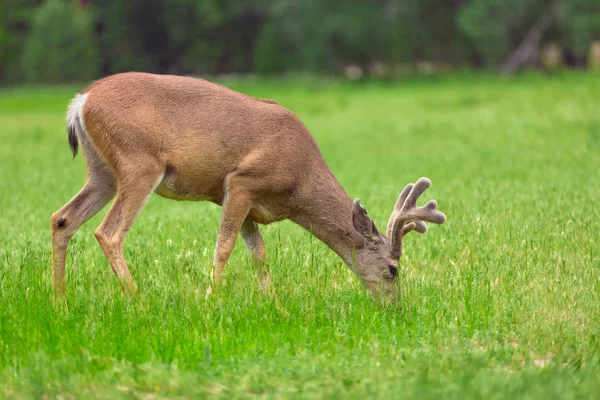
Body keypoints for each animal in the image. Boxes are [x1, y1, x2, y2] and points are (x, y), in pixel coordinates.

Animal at [50, 73, 446, 302]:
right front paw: (211, 302)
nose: (395, 307)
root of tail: (80, 101)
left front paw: (275, 306)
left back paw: (60, 302)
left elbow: (259, 254)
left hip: (102, 170)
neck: (299, 183)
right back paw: (139, 302)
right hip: (139, 161)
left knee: (62, 218)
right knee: (108, 232)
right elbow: (224, 247)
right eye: (393, 269)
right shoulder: (241, 181)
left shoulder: (251, 203)